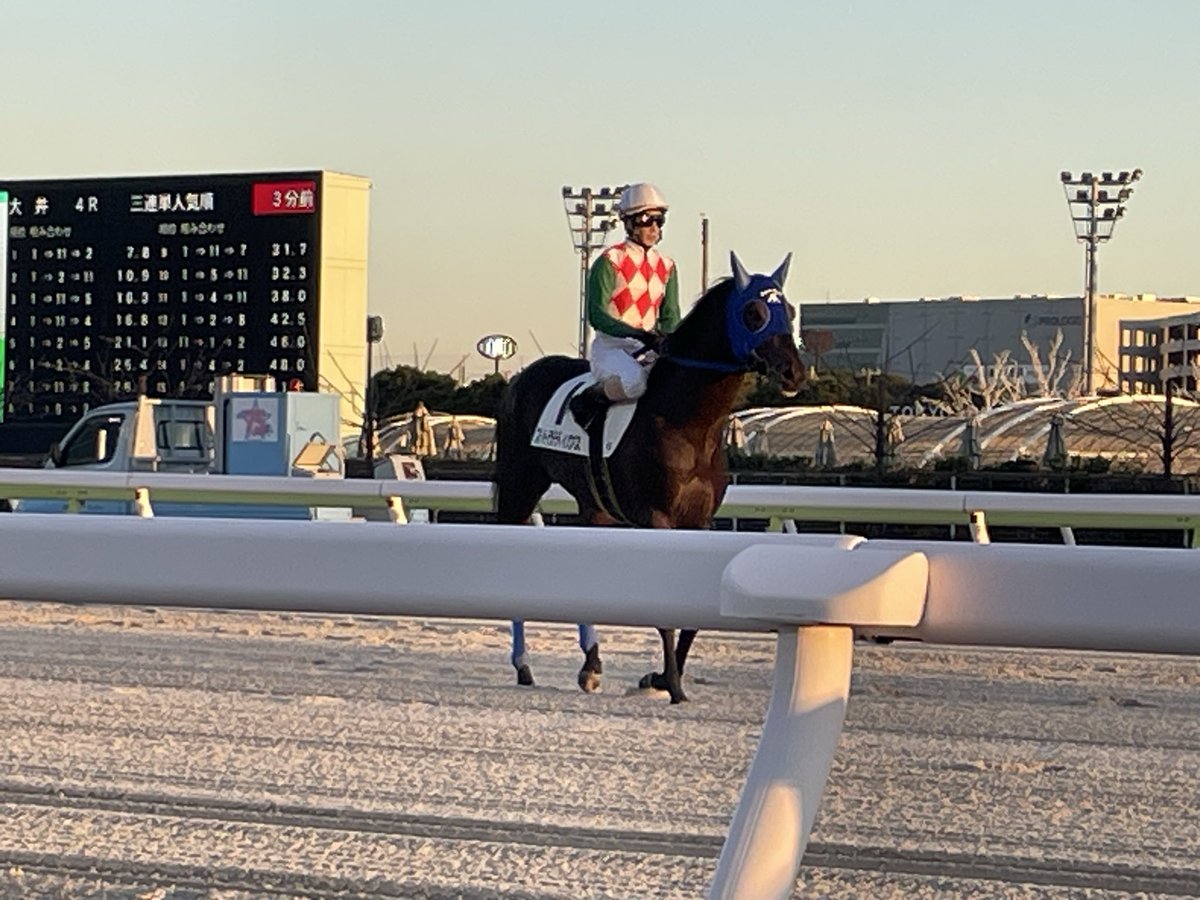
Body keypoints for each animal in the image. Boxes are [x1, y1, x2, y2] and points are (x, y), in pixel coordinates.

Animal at [493, 252, 805, 703]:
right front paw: (672, 685)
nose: (794, 373)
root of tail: (519, 378)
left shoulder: (699, 522)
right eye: (755, 312)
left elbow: (693, 614)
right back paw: (523, 664)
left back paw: (591, 666)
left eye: (791, 312)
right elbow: (665, 615)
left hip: (595, 508)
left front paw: (657, 677)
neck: (689, 424)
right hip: (520, 485)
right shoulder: (657, 518)